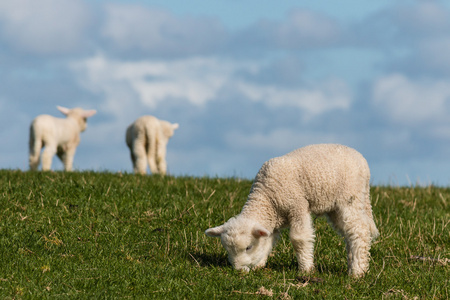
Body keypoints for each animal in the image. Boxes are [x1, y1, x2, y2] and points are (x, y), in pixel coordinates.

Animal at [207, 144, 380, 278]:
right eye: (227, 249)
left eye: (248, 247)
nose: (238, 271)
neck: (266, 199)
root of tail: (363, 162)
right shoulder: (272, 221)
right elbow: (267, 242)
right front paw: (259, 265)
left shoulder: (297, 206)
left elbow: (299, 238)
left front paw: (306, 269)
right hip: (335, 206)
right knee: (350, 233)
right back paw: (354, 265)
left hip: (350, 197)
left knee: (359, 231)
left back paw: (357, 272)